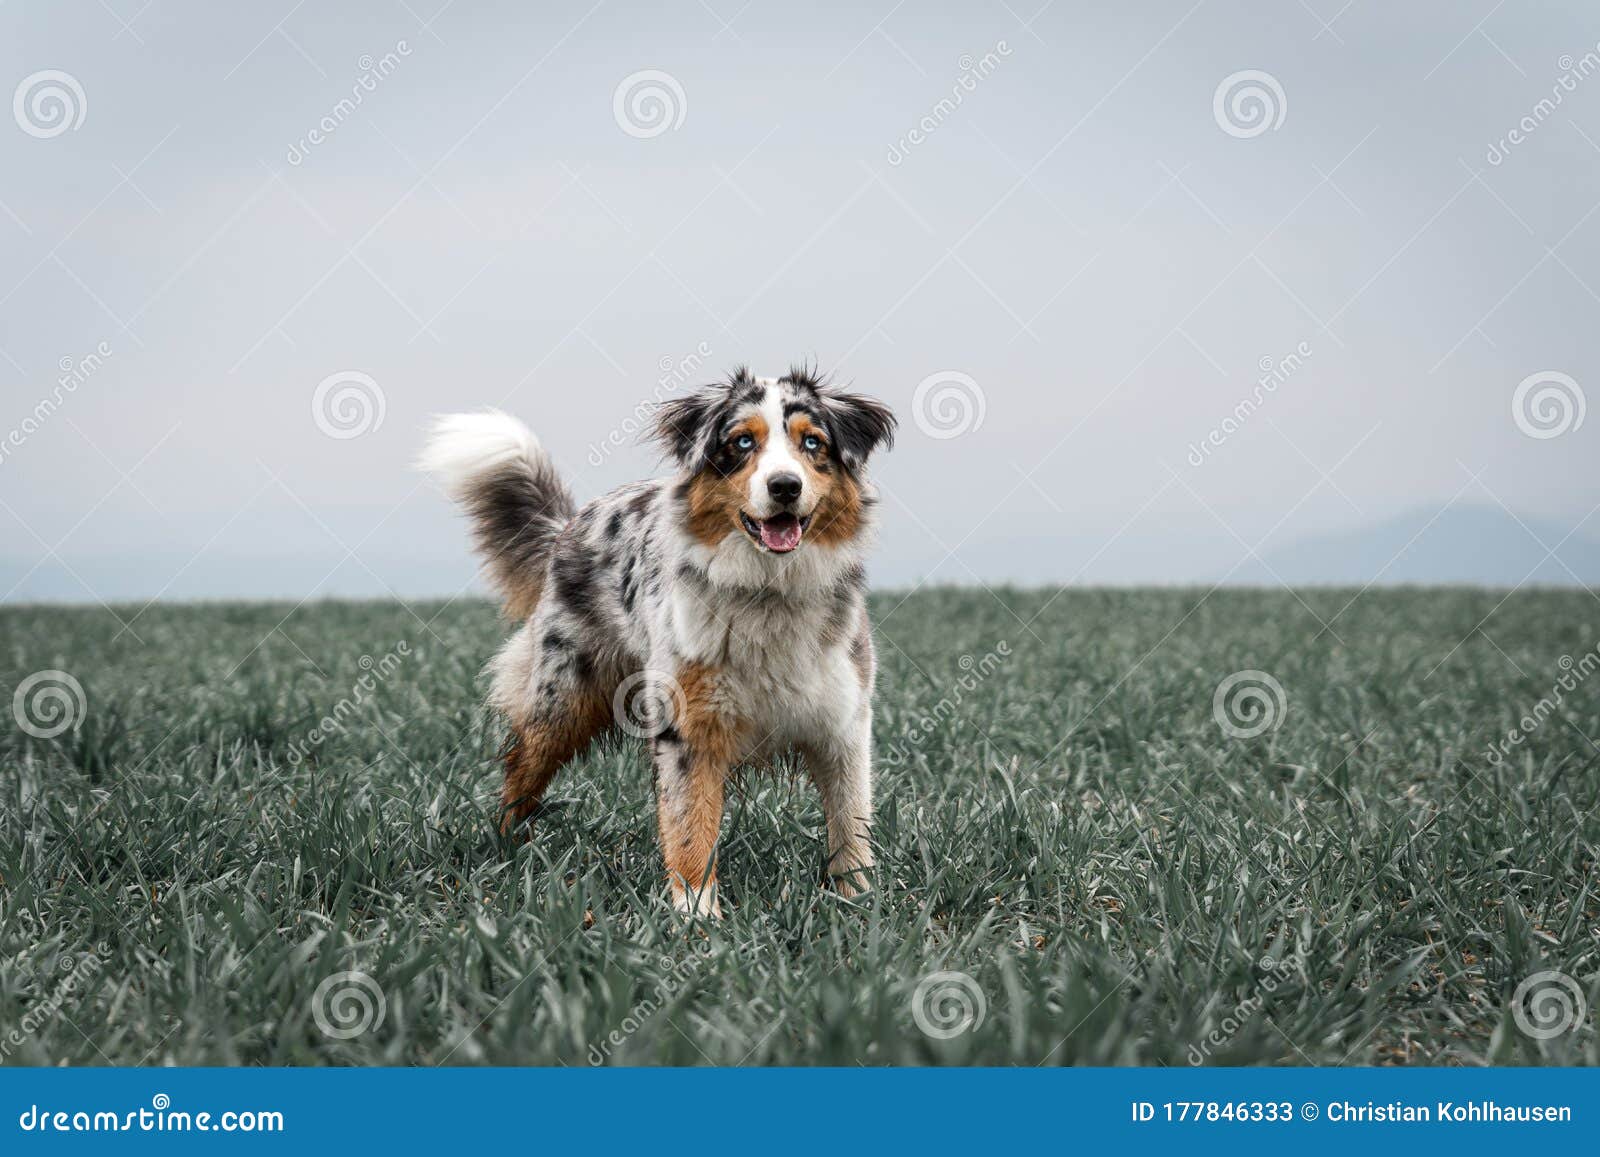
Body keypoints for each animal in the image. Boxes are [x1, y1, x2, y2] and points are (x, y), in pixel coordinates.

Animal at [422, 366, 902, 921]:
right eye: (742, 442)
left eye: (812, 442)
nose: (785, 485)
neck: (768, 591)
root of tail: (569, 523)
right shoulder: (687, 726)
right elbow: (690, 826)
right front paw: (697, 918)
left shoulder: (843, 721)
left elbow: (851, 822)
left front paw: (859, 904)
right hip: (562, 697)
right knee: (521, 768)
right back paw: (506, 849)